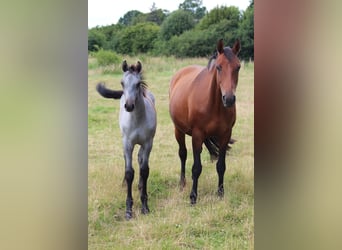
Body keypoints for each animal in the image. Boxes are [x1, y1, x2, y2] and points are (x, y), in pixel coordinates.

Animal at [169, 38, 240, 203]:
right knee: (183, 154)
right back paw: (182, 183)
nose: (229, 99)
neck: (213, 104)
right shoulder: (197, 135)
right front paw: (193, 197)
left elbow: (221, 166)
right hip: (178, 130)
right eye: (219, 67)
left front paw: (220, 193)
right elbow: (196, 168)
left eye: (238, 67)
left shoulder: (225, 135)